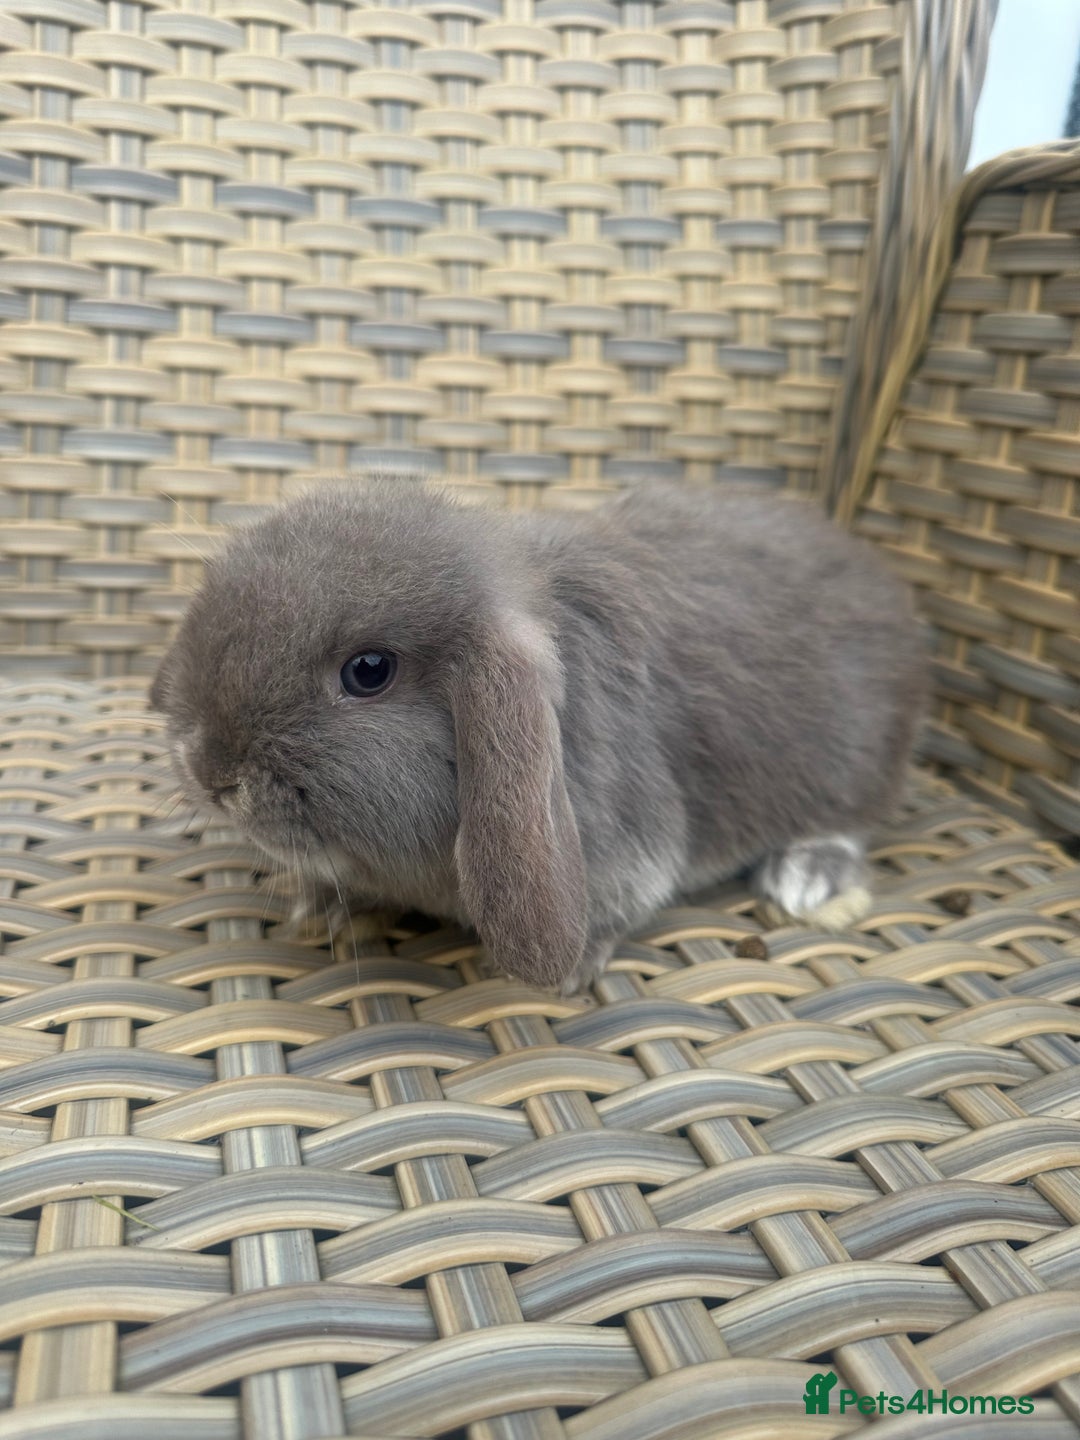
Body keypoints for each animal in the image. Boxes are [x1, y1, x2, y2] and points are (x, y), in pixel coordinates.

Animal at [150, 480, 927, 993]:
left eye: (368, 672)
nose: (211, 772)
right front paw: (318, 907)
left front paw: (572, 973)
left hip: (853, 767)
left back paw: (808, 879)